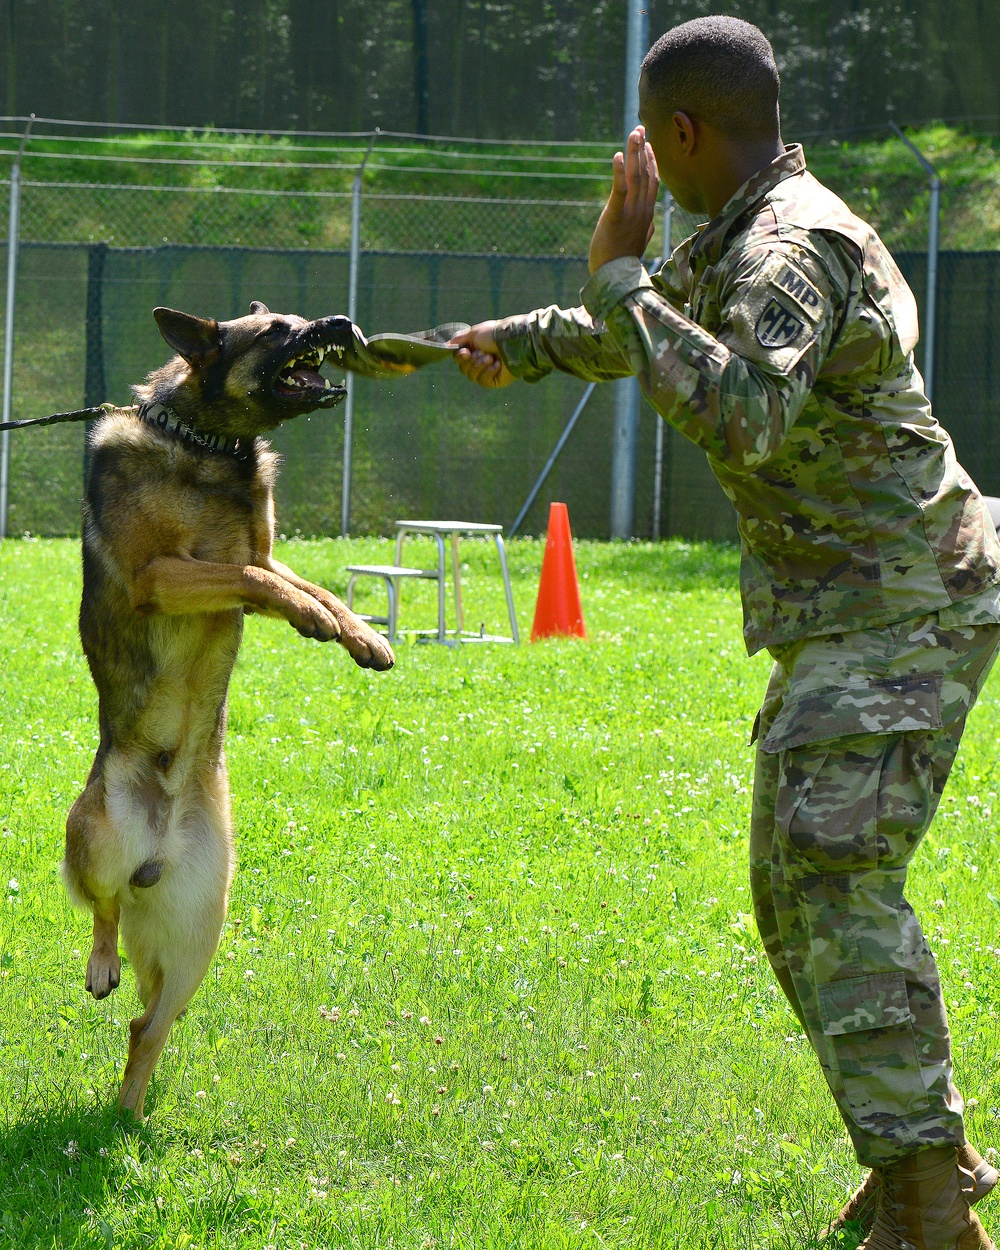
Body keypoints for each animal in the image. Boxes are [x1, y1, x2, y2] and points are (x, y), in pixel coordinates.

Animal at [58, 300, 395, 1115]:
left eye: (299, 321)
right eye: (276, 330)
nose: (340, 318)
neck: (207, 444)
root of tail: (154, 850)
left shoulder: (263, 553)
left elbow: (302, 581)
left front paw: (360, 634)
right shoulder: (166, 573)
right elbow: (252, 575)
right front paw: (322, 622)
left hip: (200, 935)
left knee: (145, 1025)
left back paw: (130, 1117)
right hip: (94, 836)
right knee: (101, 911)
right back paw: (102, 965)